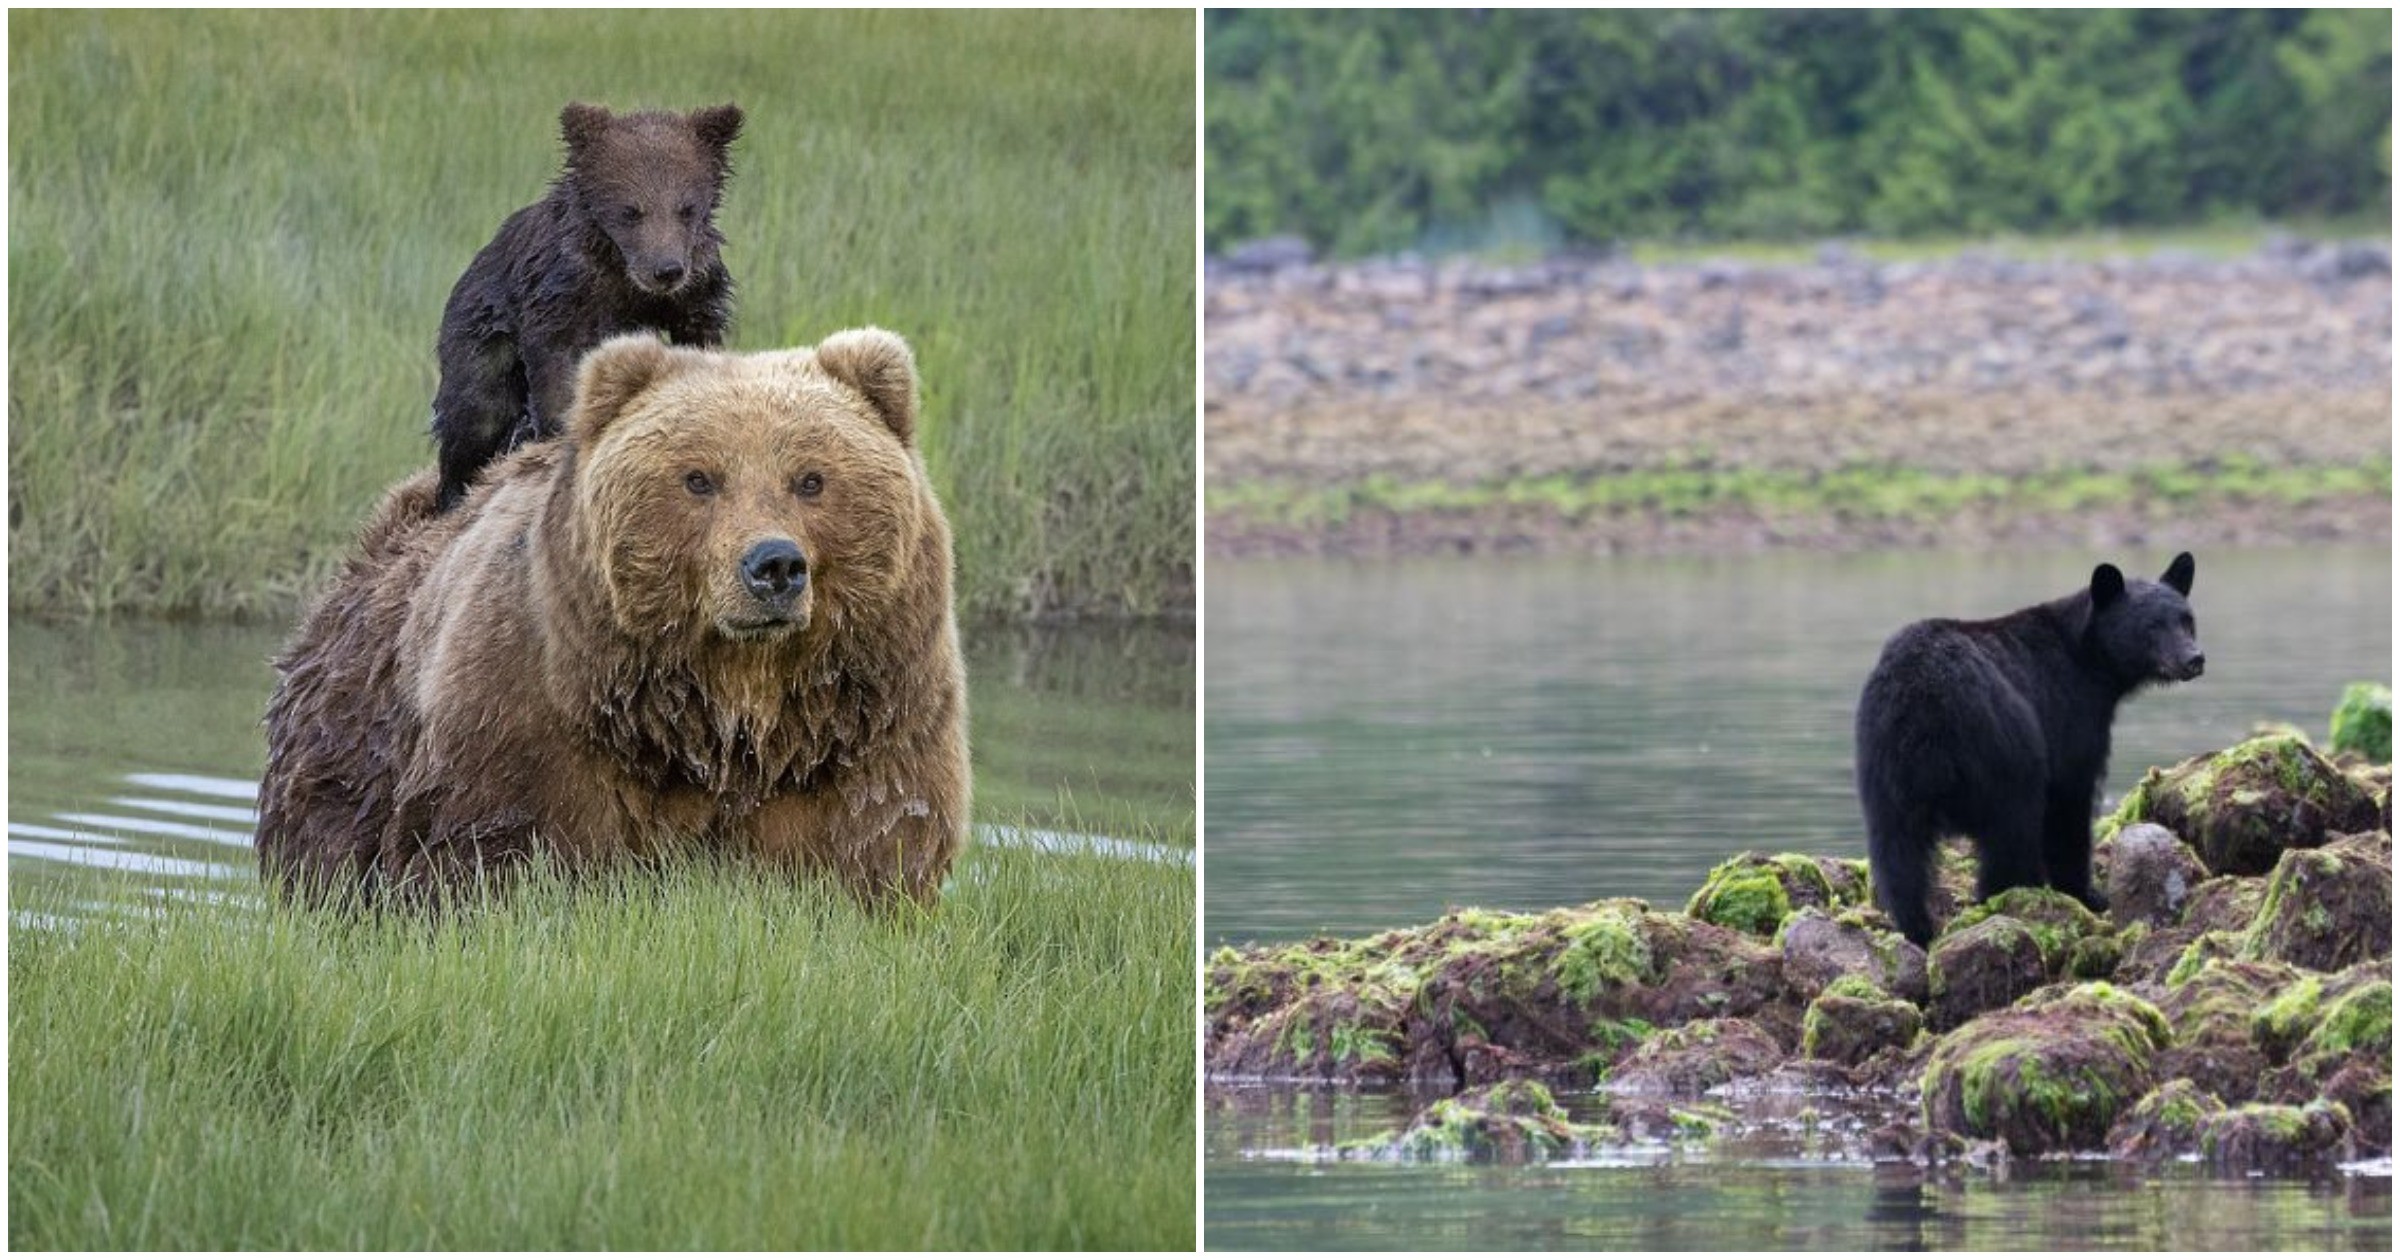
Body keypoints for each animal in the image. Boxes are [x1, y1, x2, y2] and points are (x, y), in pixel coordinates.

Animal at [258, 328, 969, 907]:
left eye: (811, 479)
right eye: (699, 478)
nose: (774, 565)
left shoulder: (864, 726)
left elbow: (873, 845)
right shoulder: (530, 715)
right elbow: (499, 852)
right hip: (347, 753)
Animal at [432, 99, 744, 511]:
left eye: (686, 208)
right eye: (631, 210)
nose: (667, 270)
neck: (623, 275)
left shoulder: (696, 288)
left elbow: (699, 334)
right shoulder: (563, 293)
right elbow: (556, 365)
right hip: (478, 332)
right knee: (475, 411)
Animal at [1852, 549, 2208, 940]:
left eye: (2187, 620)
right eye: (2152, 626)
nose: (2193, 659)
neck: (2088, 657)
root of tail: (1923, 697)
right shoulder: (2069, 710)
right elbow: (2069, 799)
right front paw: (2087, 893)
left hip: (1883, 761)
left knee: (1897, 850)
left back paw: (1917, 927)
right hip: (2001, 743)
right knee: (2013, 824)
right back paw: (2008, 895)